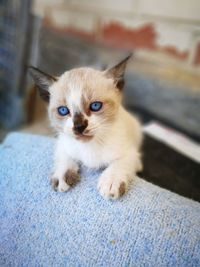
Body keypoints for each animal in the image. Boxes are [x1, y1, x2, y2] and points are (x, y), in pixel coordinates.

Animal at [28, 54, 143, 200]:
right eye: (63, 111)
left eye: (95, 106)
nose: (79, 126)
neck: (90, 146)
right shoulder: (62, 143)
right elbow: (64, 157)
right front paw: (62, 175)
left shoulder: (132, 154)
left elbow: (119, 163)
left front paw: (111, 181)